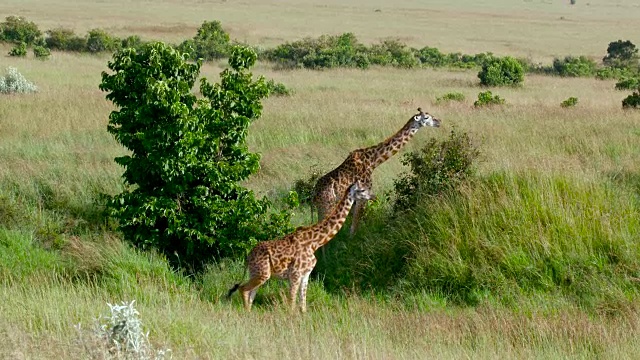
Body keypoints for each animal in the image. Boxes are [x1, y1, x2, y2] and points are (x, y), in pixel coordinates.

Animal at [226, 183, 372, 312]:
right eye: (362, 190)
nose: (372, 196)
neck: (315, 242)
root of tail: (248, 257)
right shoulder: (295, 274)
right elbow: (291, 304)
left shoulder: (305, 275)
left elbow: (303, 306)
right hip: (263, 273)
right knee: (243, 289)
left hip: (257, 273)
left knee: (251, 295)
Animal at [310, 108, 440, 235]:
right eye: (426, 117)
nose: (439, 122)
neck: (373, 161)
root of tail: (314, 193)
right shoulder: (362, 196)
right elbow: (354, 227)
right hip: (327, 206)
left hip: (322, 208)